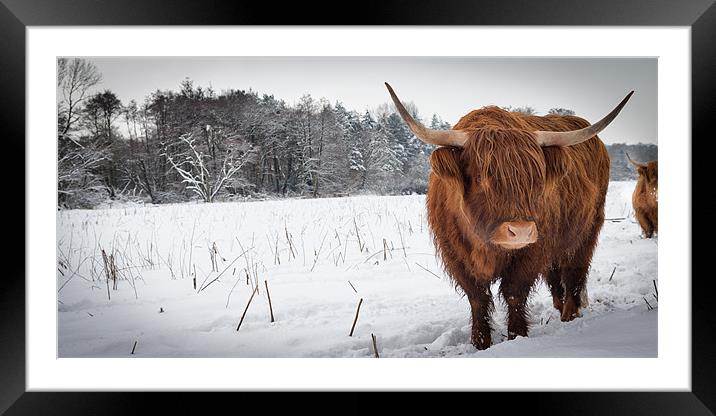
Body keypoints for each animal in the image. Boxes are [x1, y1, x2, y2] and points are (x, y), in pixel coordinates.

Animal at [386, 83, 632, 350]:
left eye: (536, 178)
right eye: (481, 178)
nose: (521, 231)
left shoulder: (532, 251)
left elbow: (515, 292)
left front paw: (518, 336)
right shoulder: (456, 255)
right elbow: (478, 298)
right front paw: (480, 342)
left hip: (587, 230)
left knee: (574, 271)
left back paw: (570, 314)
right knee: (556, 274)